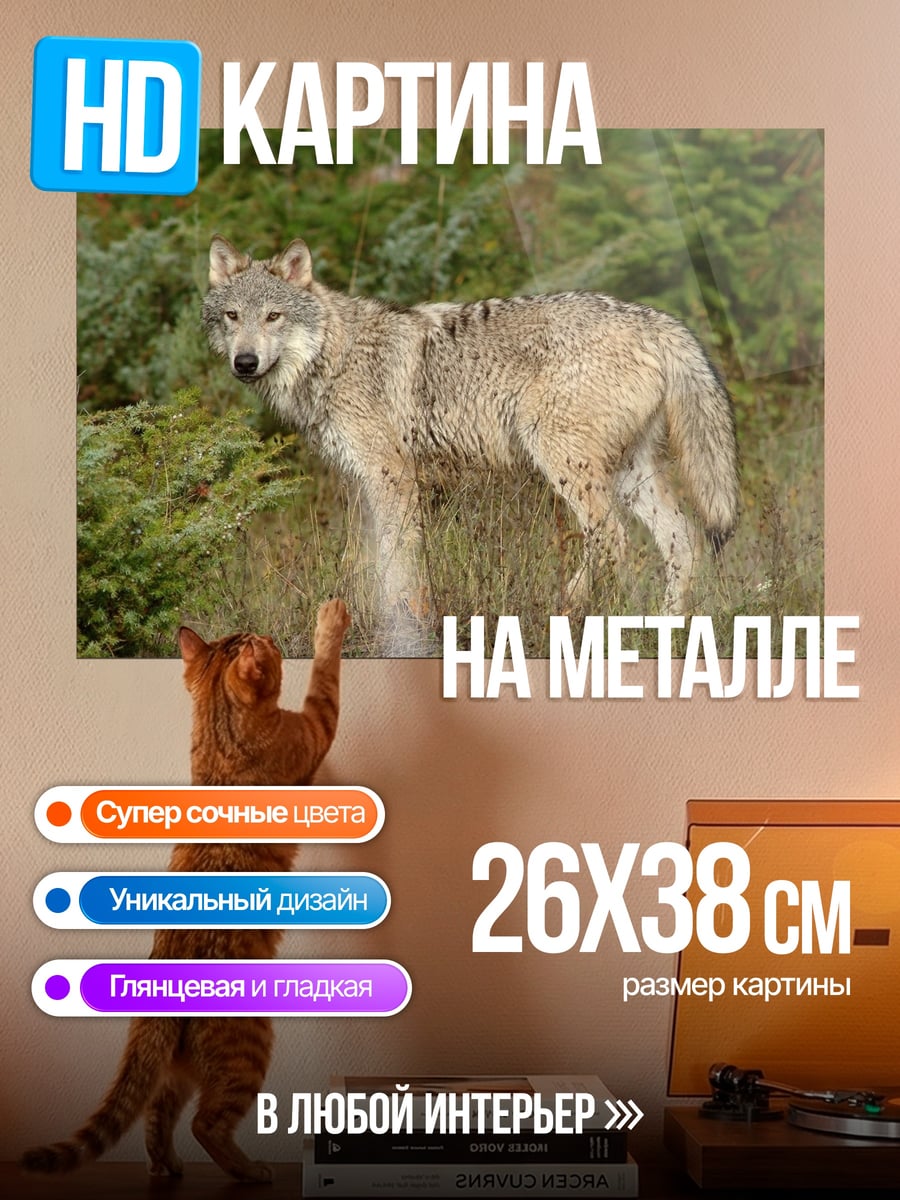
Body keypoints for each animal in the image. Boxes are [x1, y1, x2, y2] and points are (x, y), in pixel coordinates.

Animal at [202, 236, 740, 615]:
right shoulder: (361, 484)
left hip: (565, 462)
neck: (332, 356)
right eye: (232, 316)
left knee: (613, 539)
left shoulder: (393, 477)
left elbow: (397, 564)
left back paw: (571, 605)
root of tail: (656, 320)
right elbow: (365, 564)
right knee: (684, 541)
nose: (245, 362)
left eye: (274, 316)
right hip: (629, 476)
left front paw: (403, 620)